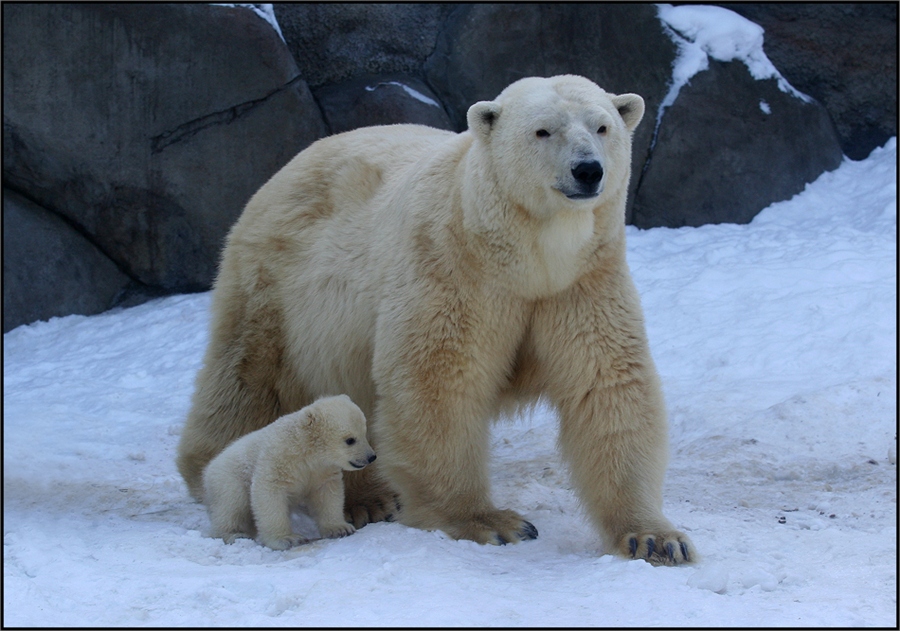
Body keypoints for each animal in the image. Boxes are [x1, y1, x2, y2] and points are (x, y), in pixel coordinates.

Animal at [201, 396, 376, 548]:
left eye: (364, 432)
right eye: (350, 440)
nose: (371, 457)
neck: (305, 450)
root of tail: (209, 469)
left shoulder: (322, 470)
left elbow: (327, 494)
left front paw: (340, 528)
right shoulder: (279, 457)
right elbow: (269, 493)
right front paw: (287, 539)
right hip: (229, 479)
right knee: (232, 506)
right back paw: (235, 534)